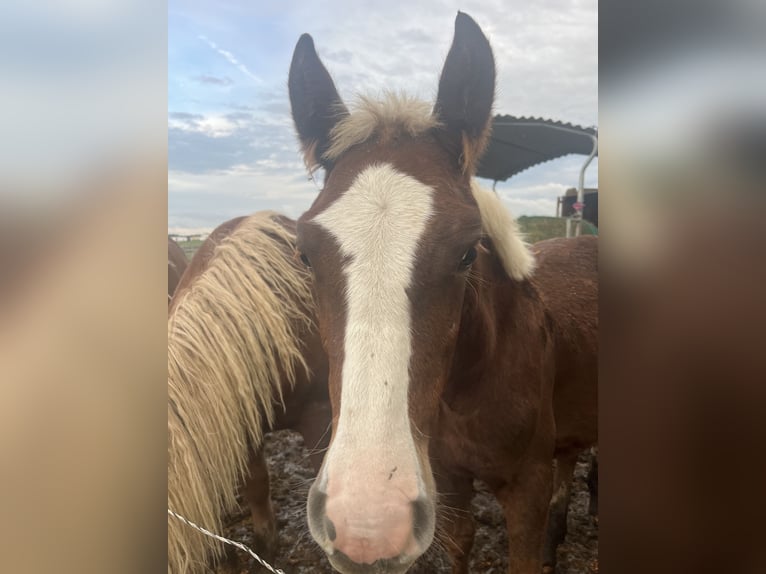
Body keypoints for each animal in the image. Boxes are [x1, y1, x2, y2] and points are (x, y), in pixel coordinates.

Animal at [288, 11, 600, 572]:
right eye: (304, 253)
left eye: (467, 252)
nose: (368, 524)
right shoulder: (449, 483)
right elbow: (460, 545)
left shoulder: (527, 487)